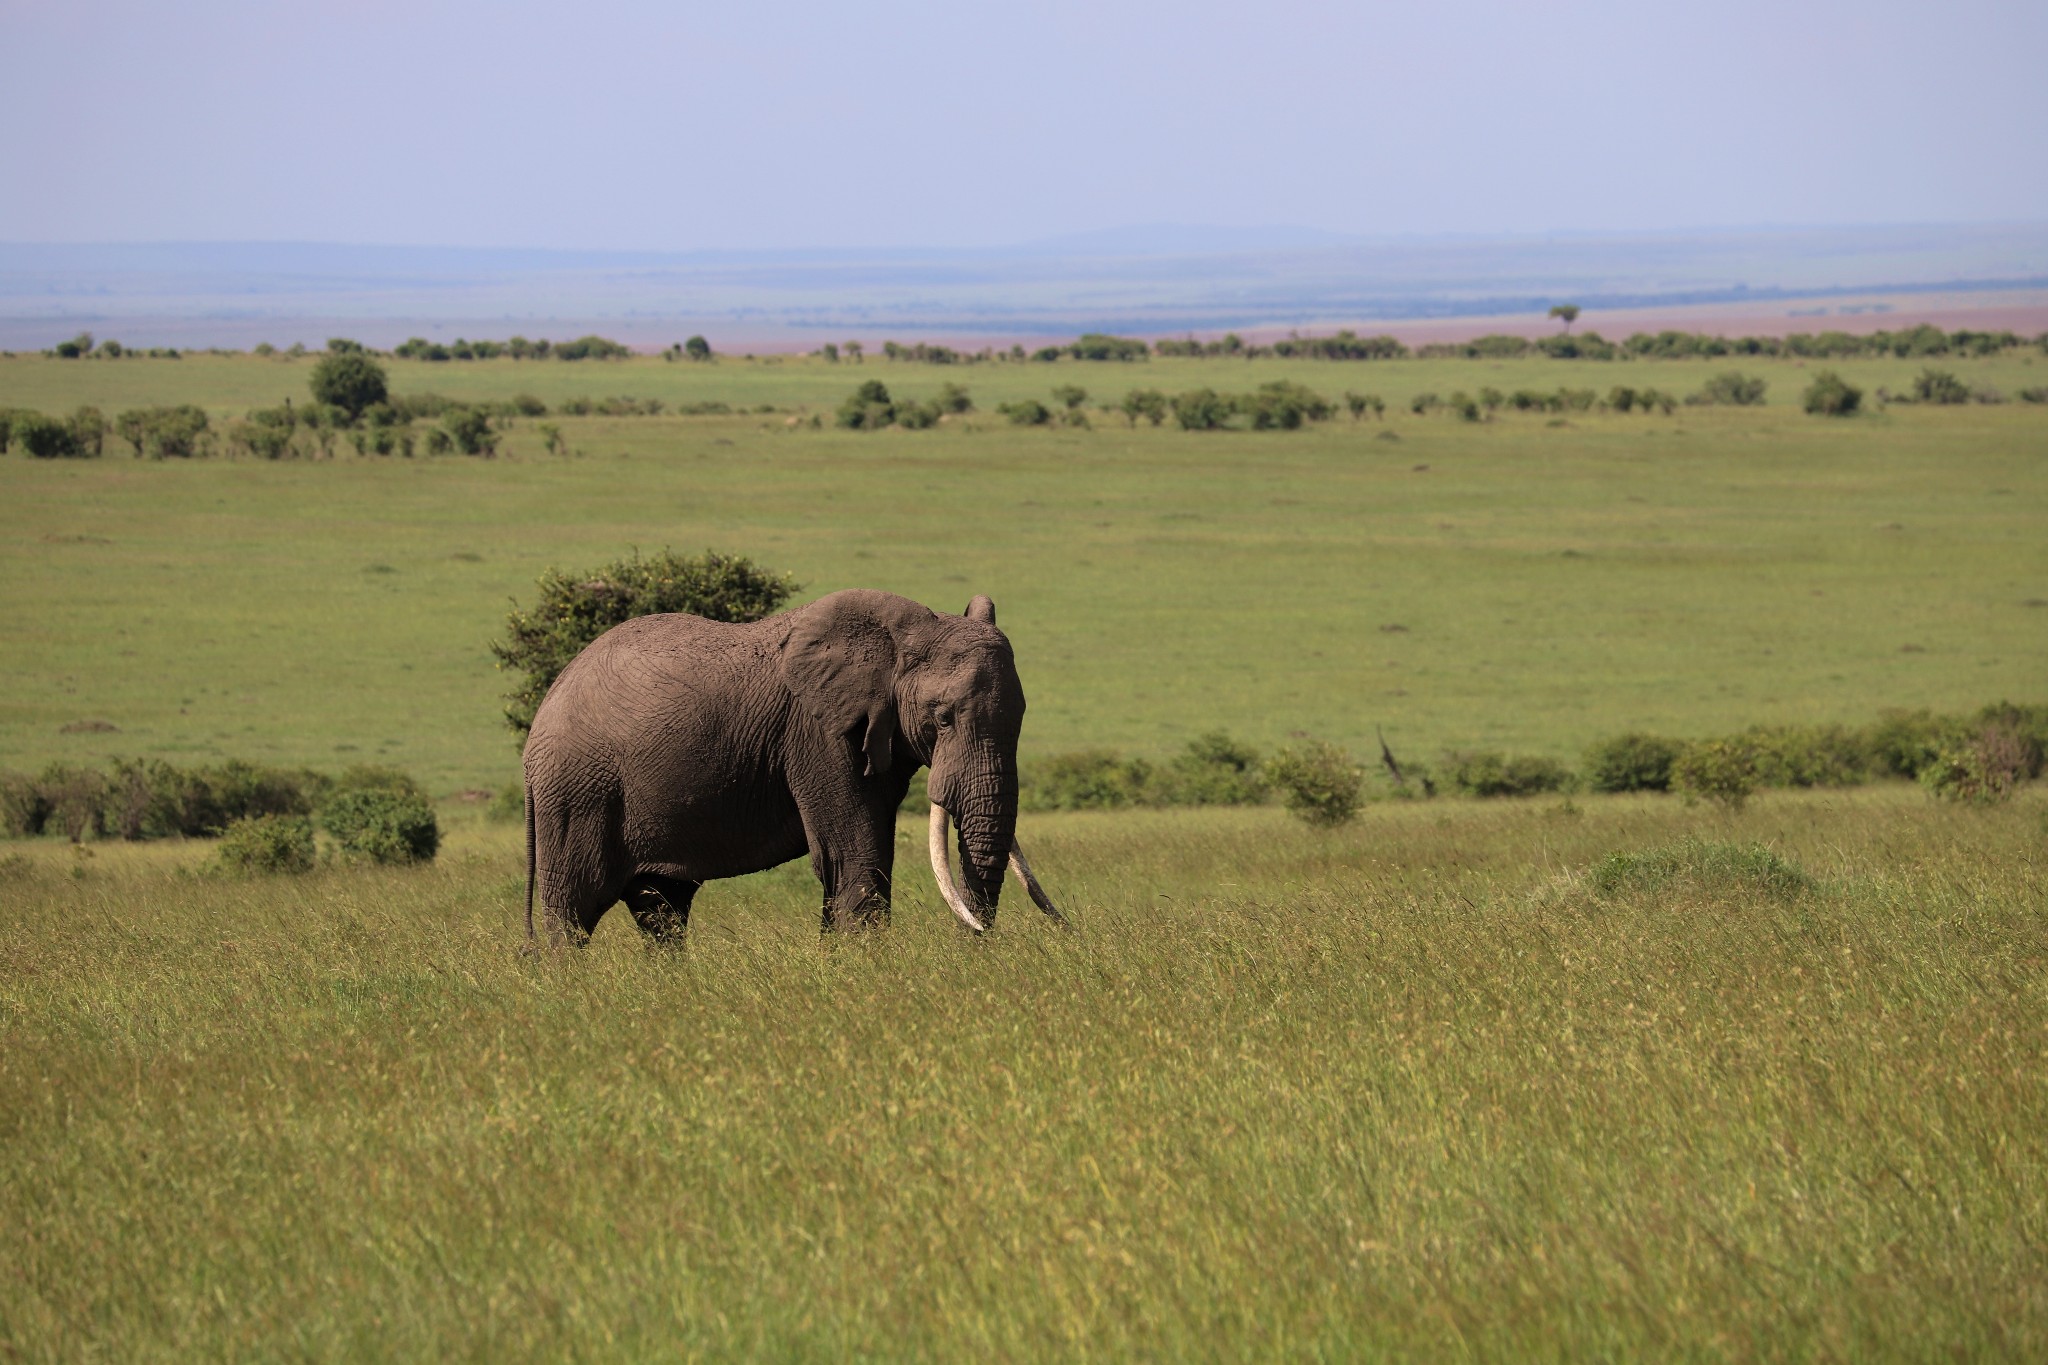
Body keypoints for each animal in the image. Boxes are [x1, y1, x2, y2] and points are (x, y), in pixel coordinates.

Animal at [520, 593, 1064, 945]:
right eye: (943, 718)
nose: (973, 941)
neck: (902, 637)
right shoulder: (816, 733)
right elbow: (853, 858)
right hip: (576, 794)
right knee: (572, 913)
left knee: (662, 912)